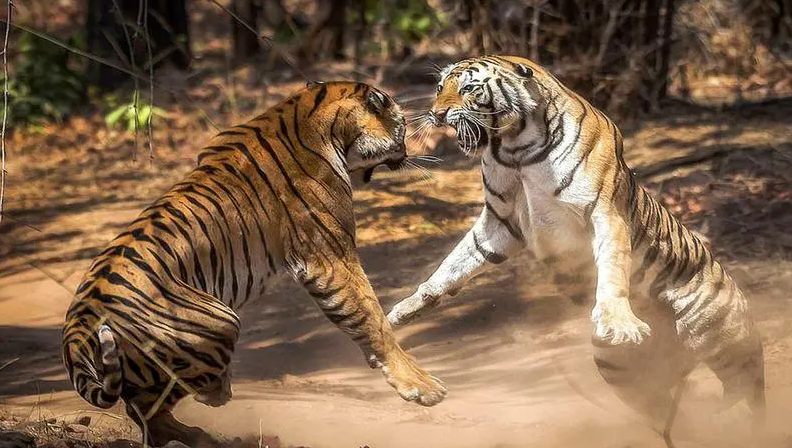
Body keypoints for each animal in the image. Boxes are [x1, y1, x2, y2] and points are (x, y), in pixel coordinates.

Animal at [62, 81, 447, 447]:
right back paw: (216, 403)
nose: (409, 151)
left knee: (144, 413)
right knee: (152, 406)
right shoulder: (329, 258)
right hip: (220, 321)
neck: (310, 110)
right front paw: (421, 386)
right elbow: (372, 318)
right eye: (401, 126)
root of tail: (79, 322)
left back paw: (204, 431)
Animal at [386, 55, 765, 441]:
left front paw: (618, 320)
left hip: (722, 338)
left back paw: (738, 421)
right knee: (667, 408)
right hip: (621, 369)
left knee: (749, 389)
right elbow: (455, 263)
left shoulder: (604, 213)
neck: (512, 146)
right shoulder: (500, 223)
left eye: (469, 88)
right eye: (439, 88)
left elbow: (612, 269)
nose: (436, 113)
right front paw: (406, 308)